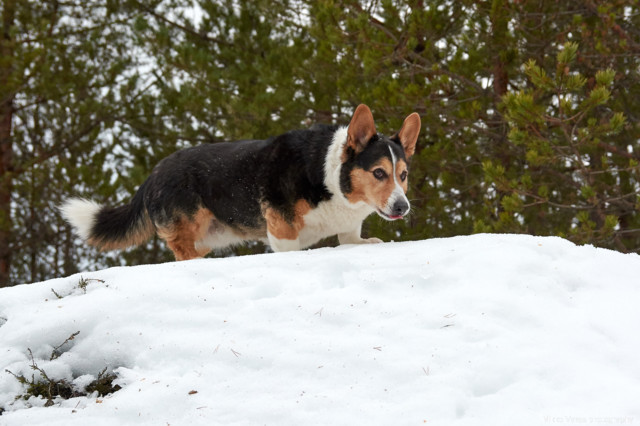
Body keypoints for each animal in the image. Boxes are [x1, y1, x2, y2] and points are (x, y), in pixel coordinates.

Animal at [61, 105, 420, 262]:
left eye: (403, 174)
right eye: (378, 173)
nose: (402, 207)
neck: (329, 177)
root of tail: (153, 173)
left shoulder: (348, 230)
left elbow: (353, 240)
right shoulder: (282, 232)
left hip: (210, 237)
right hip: (190, 226)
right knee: (183, 253)